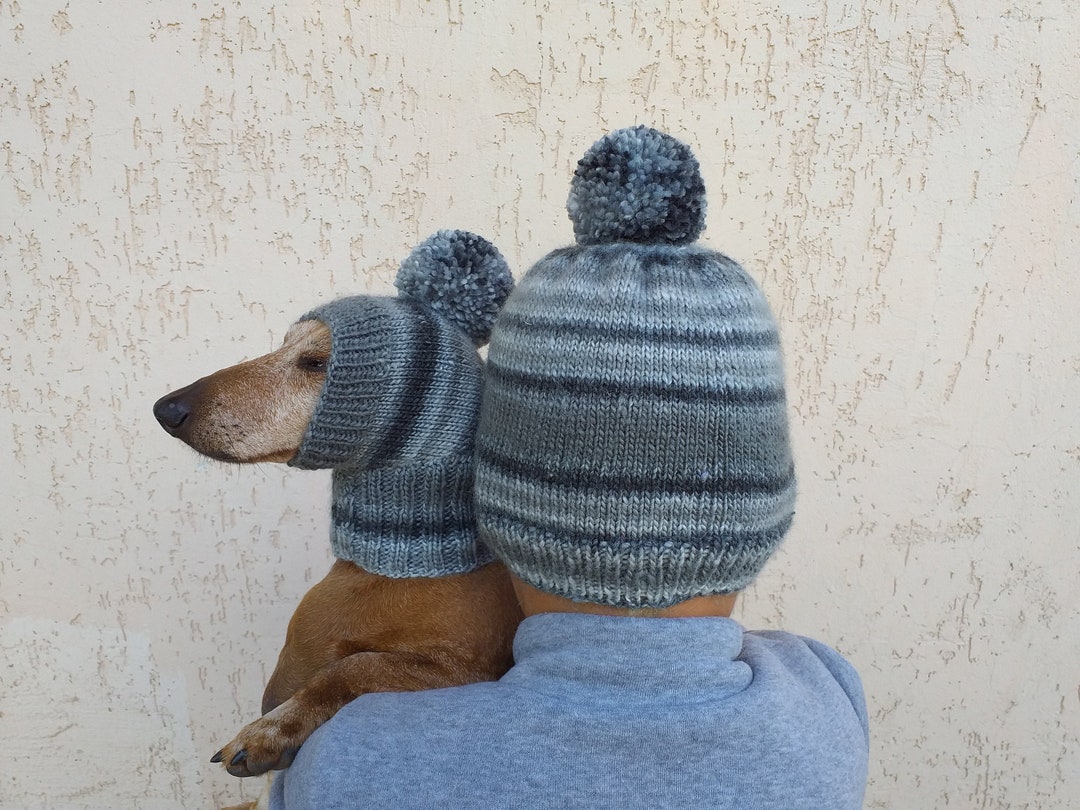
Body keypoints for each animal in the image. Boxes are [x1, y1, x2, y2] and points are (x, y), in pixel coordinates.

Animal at [154, 319, 520, 781]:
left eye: (315, 362)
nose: (164, 408)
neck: (401, 559)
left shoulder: (471, 670)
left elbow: (354, 665)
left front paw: (271, 730)